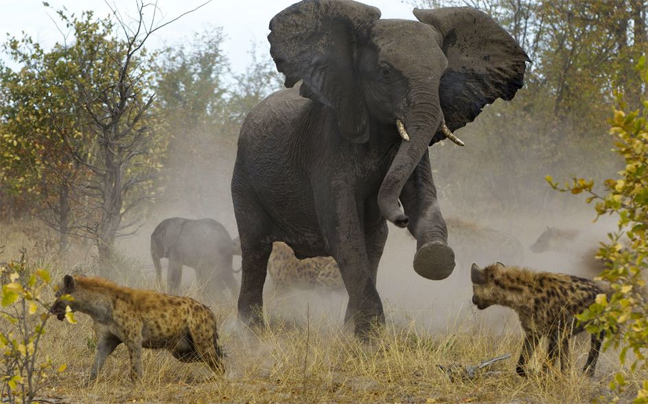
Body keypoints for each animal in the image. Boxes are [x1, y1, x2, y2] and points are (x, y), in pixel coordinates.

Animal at [50, 274, 225, 380]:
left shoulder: (133, 338)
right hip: (182, 350)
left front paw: (136, 384)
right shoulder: (106, 339)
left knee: (216, 362)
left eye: (57, 295)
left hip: (200, 341)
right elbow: (97, 362)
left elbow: (135, 365)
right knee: (212, 357)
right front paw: (89, 382)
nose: (51, 309)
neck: (100, 308)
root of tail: (208, 310)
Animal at [230, 0, 528, 334]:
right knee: (255, 250)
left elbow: (421, 199)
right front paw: (371, 336)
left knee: (374, 245)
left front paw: (434, 257)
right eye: (385, 72)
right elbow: (342, 232)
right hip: (243, 179)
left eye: (442, 75)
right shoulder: (326, 145)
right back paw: (251, 332)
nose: (400, 217)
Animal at [468, 262, 604, 376]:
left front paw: (540, 376)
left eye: (474, 289)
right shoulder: (533, 331)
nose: (473, 299)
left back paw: (588, 372)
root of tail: (599, 288)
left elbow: (548, 362)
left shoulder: (555, 333)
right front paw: (529, 374)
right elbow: (521, 363)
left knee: (594, 349)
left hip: (597, 326)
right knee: (567, 358)